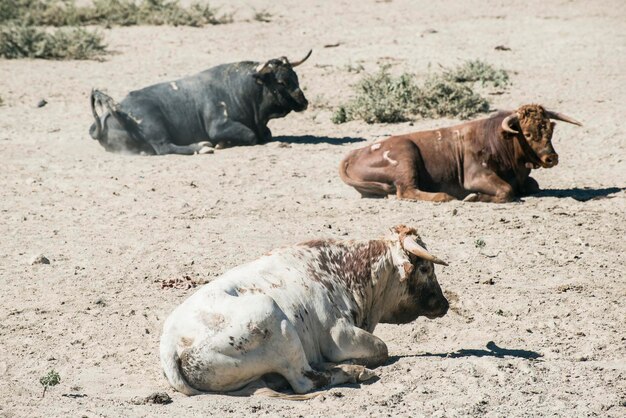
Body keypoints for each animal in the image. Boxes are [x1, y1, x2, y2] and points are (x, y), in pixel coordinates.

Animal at [88, 50, 312, 154]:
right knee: (165, 148)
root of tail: (115, 110)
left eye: (295, 77)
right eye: (281, 81)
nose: (304, 102)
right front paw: (222, 144)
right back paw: (202, 147)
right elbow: (250, 136)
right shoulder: (219, 125)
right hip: (155, 127)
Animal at [158, 225, 446, 398]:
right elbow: (381, 349)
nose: (445, 304)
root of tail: (171, 341)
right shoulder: (339, 336)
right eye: (425, 269)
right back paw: (353, 370)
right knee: (304, 380)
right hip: (273, 317)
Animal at [336, 104, 580, 202]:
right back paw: (443, 196)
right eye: (527, 133)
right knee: (406, 191)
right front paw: (474, 197)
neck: (499, 139)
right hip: (407, 155)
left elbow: (532, 186)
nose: (551, 158)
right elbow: (506, 190)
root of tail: (355, 153)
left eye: (549, 129)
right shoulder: (477, 176)